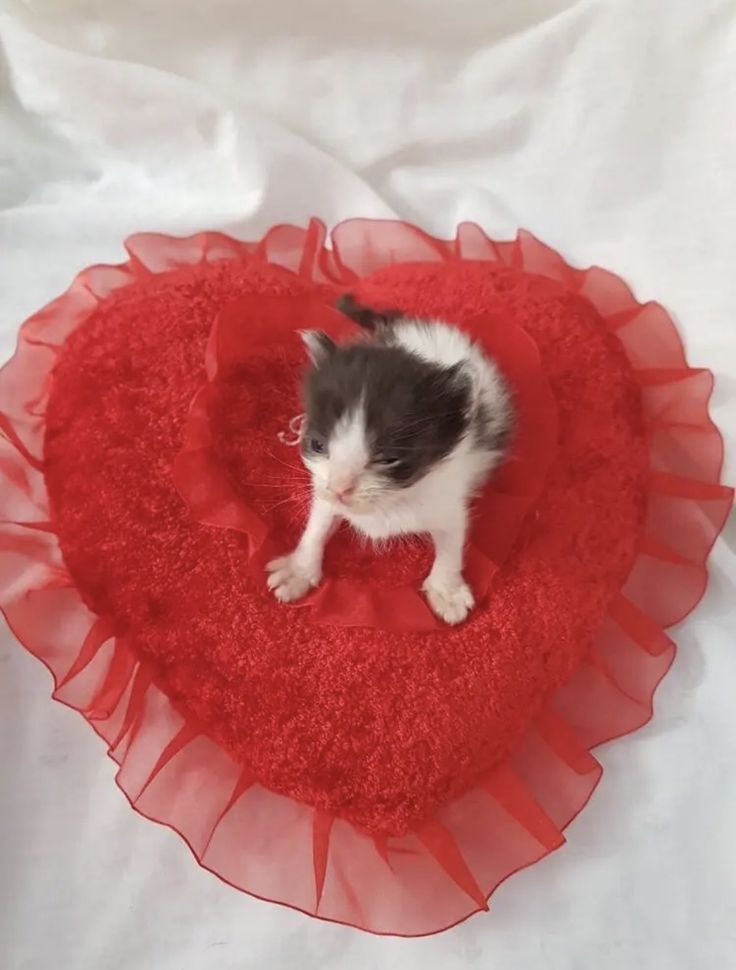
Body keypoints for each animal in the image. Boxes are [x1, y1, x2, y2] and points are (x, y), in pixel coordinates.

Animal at [266, 294, 512, 624]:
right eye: (317, 444)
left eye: (389, 459)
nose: (341, 488)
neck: (387, 504)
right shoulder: (322, 486)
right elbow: (319, 520)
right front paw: (299, 569)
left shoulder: (449, 490)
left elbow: (452, 536)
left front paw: (446, 589)